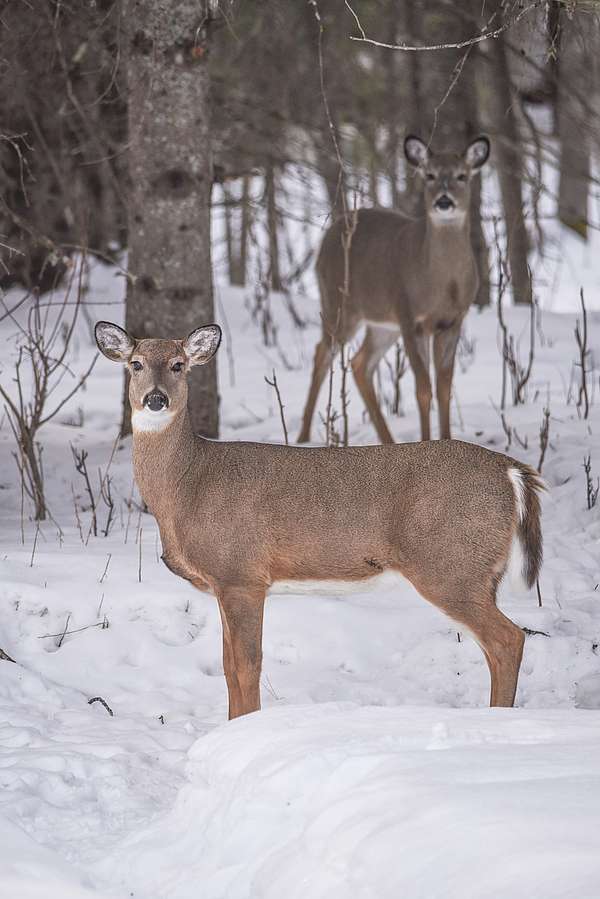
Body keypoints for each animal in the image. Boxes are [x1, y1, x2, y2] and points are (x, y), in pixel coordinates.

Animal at [95, 320, 544, 720]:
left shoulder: (241, 574)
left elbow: (246, 666)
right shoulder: (225, 583)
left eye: (178, 364)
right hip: (475, 572)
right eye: (135, 363)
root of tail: (511, 470)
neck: (188, 484)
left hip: (450, 564)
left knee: (509, 640)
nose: (155, 399)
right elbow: (227, 667)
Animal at [298, 133, 490, 446]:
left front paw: (446, 440)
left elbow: (444, 387)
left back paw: (388, 440)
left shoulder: (453, 321)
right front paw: (426, 443)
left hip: (382, 324)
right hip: (339, 304)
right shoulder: (410, 316)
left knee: (359, 363)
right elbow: (423, 388)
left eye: (462, 176)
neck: (442, 284)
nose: (444, 200)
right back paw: (302, 436)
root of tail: (328, 234)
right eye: (429, 175)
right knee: (322, 353)